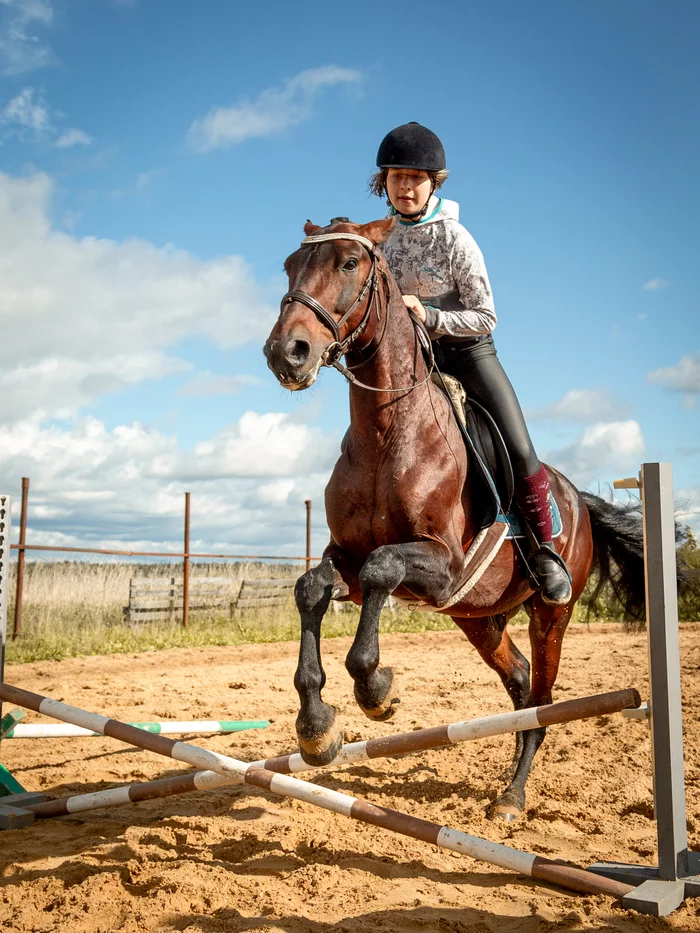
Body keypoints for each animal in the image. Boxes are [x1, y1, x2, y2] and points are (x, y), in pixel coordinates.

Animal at [264, 215, 644, 820]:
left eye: (349, 262)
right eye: (288, 266)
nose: (287, 353)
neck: (386, 433)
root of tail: (579, 500)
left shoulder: (443, 564)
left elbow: (382, 567)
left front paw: (377, 689)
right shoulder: (345, 558)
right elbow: (313, 588)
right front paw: (318, 728)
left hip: (550, 614)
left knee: (542, 699)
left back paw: (511, 797)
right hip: (477, 618)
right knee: (520, 683)